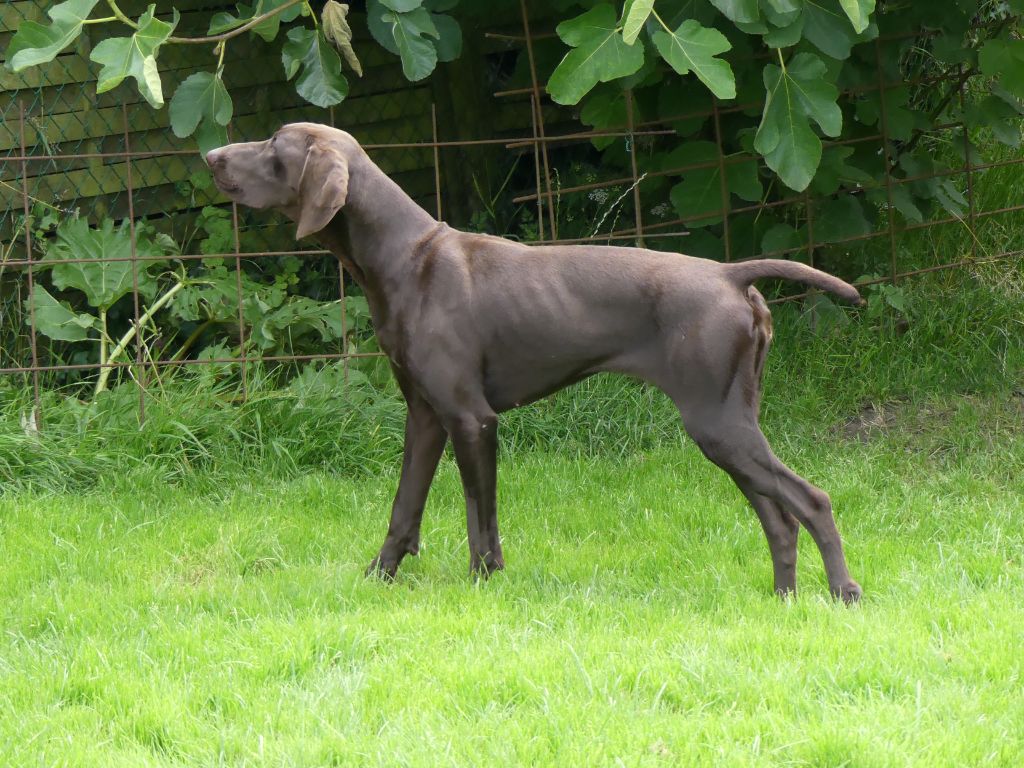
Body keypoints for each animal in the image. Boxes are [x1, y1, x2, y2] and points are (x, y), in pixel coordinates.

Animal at [203, 121, 860, 602]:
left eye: (273, 146)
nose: (210, 154)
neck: (405, 258)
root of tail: (730, 273)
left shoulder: (471, 419)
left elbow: (480, 519)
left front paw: (482, 583)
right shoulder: (424, 416)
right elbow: (403, 509)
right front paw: (377, 579)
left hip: (717, 423)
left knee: (813, 501)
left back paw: (843, 593)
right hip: (729, 426)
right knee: (779, 518)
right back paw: (783, 597)